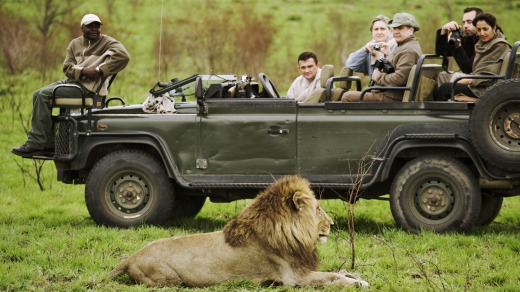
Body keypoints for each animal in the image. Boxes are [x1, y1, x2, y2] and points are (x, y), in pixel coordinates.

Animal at [106, 176, 370, 288]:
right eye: (318, 209)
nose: (332, 224)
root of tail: (131, 257)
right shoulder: (294, 278)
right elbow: (331, 278)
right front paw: (357, 282)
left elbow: (335, 271)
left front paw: (356, 276)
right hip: (168, 279)